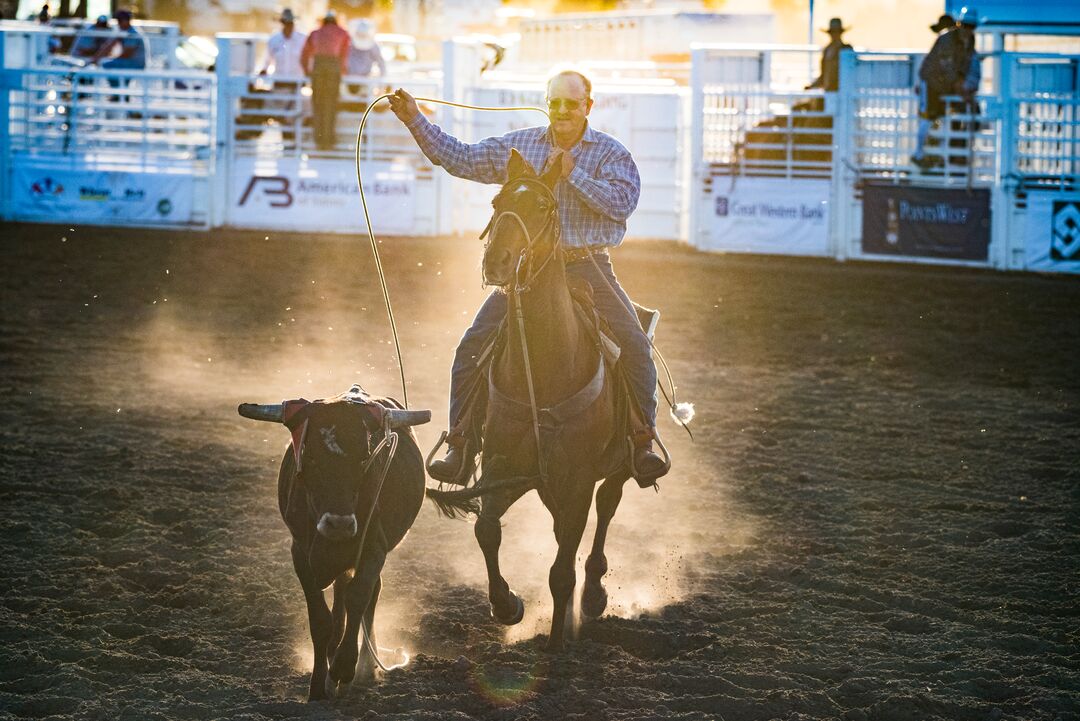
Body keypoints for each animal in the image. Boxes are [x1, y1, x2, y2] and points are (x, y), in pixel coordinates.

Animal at [427, 147, 630, 651]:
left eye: (544, 206)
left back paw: (593, 595)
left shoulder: (577, 481)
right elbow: (486, 529)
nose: (498, 262)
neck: (546, 364)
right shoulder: (504, 469)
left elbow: (561, 570)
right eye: (497, 200)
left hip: (615, 467)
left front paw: (557, 643)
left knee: (606, 508)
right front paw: (507, 606)